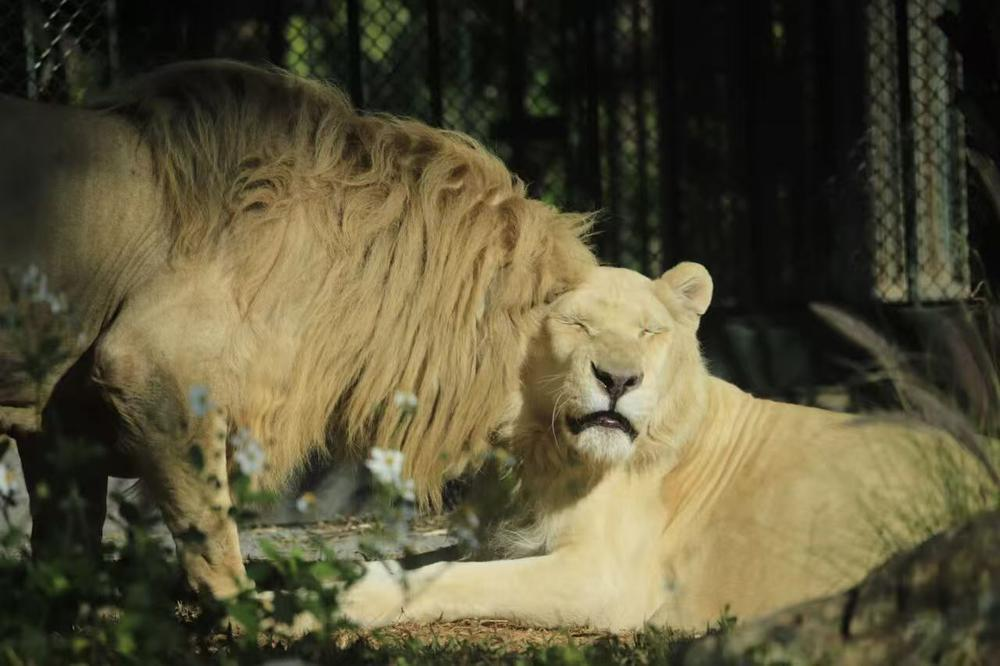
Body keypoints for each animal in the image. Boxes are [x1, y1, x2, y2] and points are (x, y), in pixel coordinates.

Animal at [0, 60, 595, 598]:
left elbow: (66, 553)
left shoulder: (62, 423)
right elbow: (209, 530)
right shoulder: (151, 369)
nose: (611, 385)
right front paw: (250, 614)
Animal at [341, 263, 996, 631]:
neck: (545, 460)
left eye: (648, 331)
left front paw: (355, 599)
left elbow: (454, 578)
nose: (618, 379)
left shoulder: (604, 578)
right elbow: (434, 560)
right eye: (576, 324)